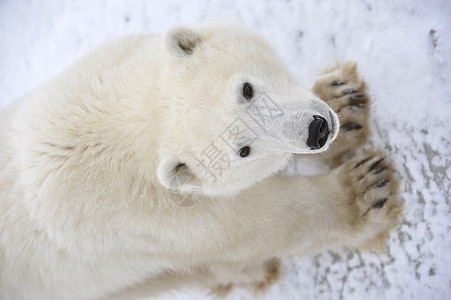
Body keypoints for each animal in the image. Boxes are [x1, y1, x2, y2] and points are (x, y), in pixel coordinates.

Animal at [0, 24, 402, 300]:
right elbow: (252, 223)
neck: (133, 124)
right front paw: (365, 190)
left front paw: (345, 99)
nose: (316, 130)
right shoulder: (154, 219)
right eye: (243, 150)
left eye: (246, 89)